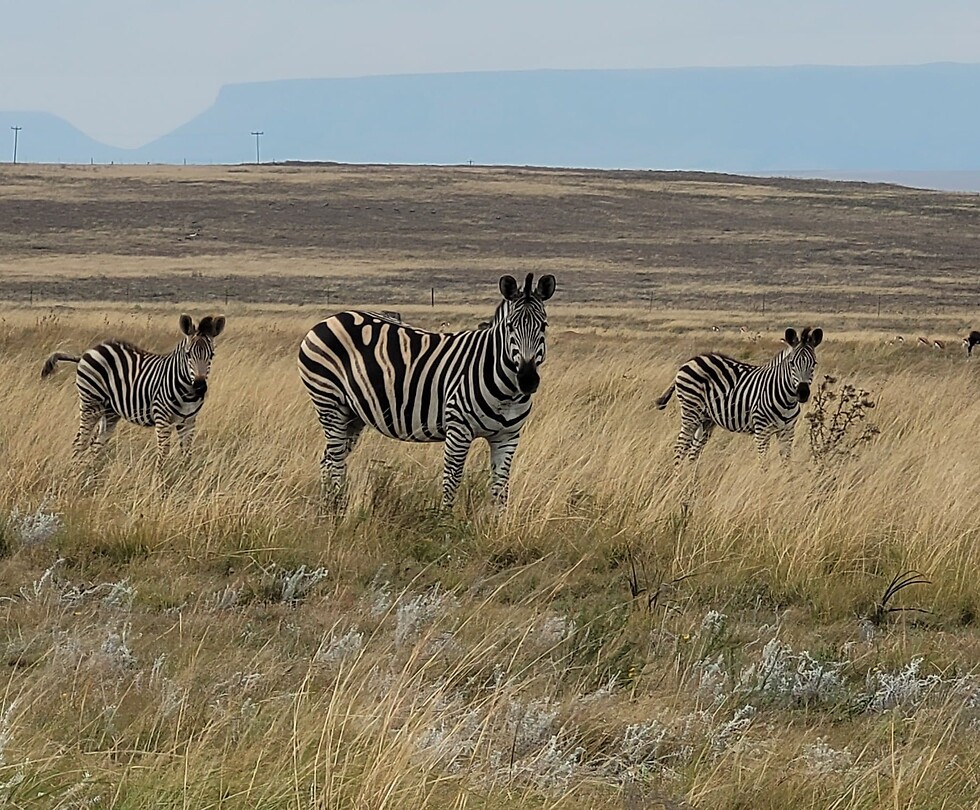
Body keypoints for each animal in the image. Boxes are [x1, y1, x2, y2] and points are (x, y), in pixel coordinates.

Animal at [40, 314, 226, 468]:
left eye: (211, 356)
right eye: (188, 355)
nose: (200, 387)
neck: (187, 392)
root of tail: (86, 352)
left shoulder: (189, 421)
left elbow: (187, 454)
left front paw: (186, 478)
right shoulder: (162, 418)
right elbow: (163, 454)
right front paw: (161, 485)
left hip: (110, 412)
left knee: (95, 444)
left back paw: (92, 475)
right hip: (91, 404)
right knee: (80, 443)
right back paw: (76, 475)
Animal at [297, 273, 556, 507]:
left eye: (544, 326)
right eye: (510, 327)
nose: (528, 380)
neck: (507, 392)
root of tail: (329, 320)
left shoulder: (507, 437)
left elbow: (501, 491)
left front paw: (497, 526)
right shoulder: (458, 430)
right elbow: (451, 483)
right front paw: (444, 525)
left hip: (353, 415)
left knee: (329, 460)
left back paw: (331, 508)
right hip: (329, 403)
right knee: (334, 461)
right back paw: (334, 512)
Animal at [656, 327, 823, 462]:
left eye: (814, 363)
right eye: (792, 363)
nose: (802, 393)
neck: (787, 399)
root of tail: (690, 361)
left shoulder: (787, 431)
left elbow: (786, 461)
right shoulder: (761, 429)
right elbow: (763, 463)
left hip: (706, 419)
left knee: (693, 451)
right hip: (691, 412)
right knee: (679, 448)